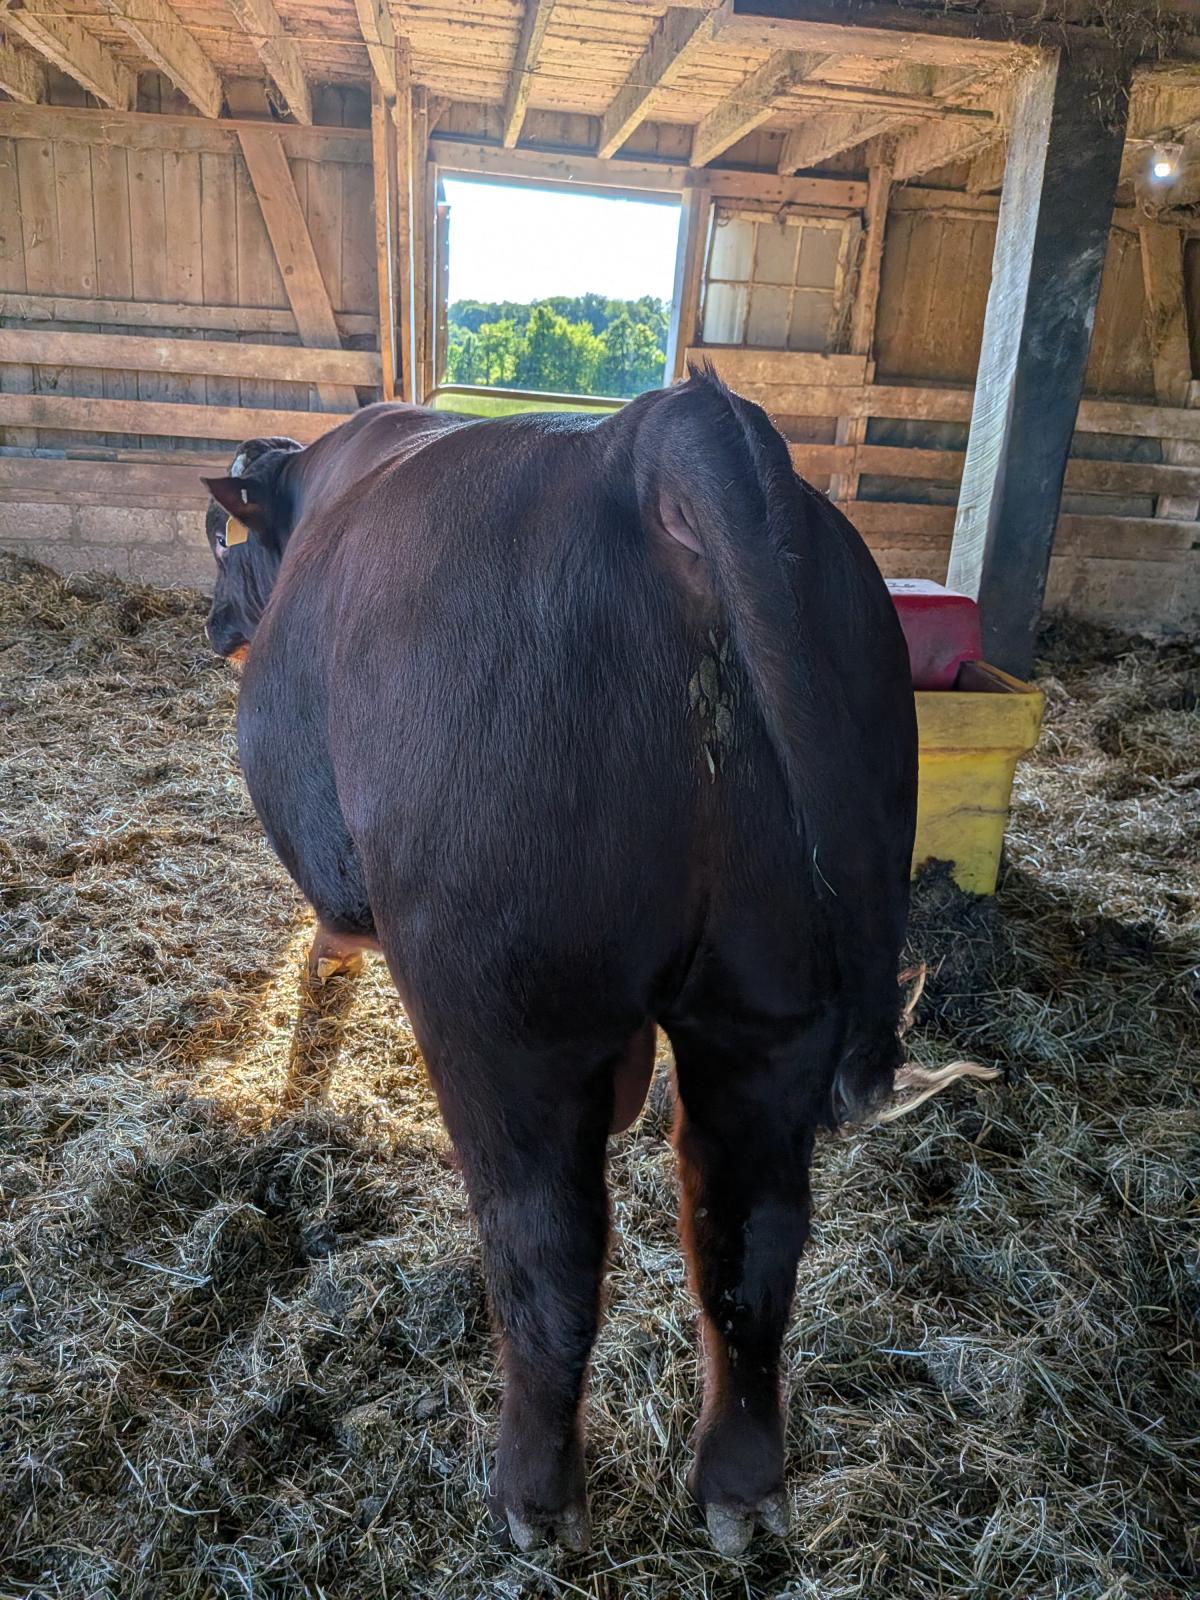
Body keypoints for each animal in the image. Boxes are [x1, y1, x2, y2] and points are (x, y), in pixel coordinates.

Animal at [202, 371, 918, 1556]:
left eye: (227, 548)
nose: (215, 623)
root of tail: (653, 437)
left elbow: (323, 962)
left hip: (504, 1015)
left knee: (546, 1245)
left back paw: (530, 1496)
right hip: (775, 1007)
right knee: (750, 1237)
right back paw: (740, 1486)